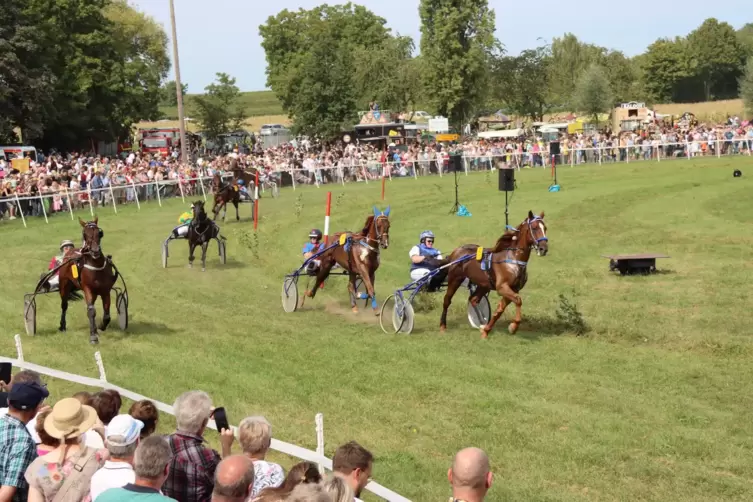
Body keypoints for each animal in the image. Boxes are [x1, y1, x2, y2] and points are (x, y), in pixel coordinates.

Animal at [438, 210, 548, 340]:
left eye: (545, 228)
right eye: (535, 228)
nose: (543, 248)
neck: (513, 259)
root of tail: (456, 251)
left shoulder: (513, 288)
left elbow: (500, 309)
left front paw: (486, 330)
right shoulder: (502, 287)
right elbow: (518, 300)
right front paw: (513, 327)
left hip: (483, 284)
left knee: (473, 299)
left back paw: (481, 324)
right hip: (455, 279)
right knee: (447, 300)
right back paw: (443, 326)